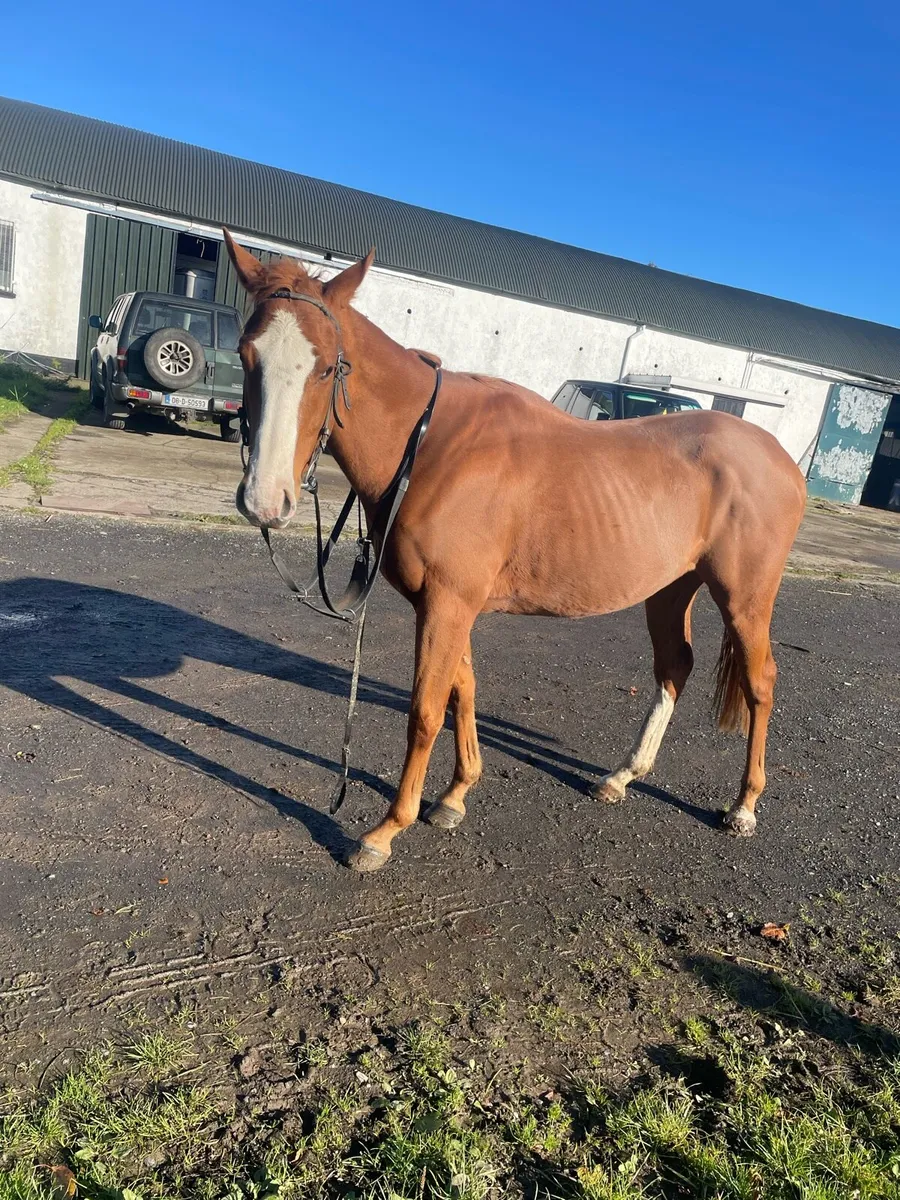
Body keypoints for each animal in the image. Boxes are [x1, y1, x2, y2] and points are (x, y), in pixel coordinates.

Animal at [223, 230, 807, 873]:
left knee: (761, 681)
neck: (433, 445)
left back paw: (744, 805)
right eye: (247, 355)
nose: (265, 500)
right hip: (670, 587)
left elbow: (425, 711)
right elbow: (463, 691)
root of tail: (781, 458)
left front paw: (386, 830)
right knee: (674, 667)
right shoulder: (445, 604)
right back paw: (623, 777)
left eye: (328, 367)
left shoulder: (449, 603)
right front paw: (455, 795)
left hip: (745, 597)